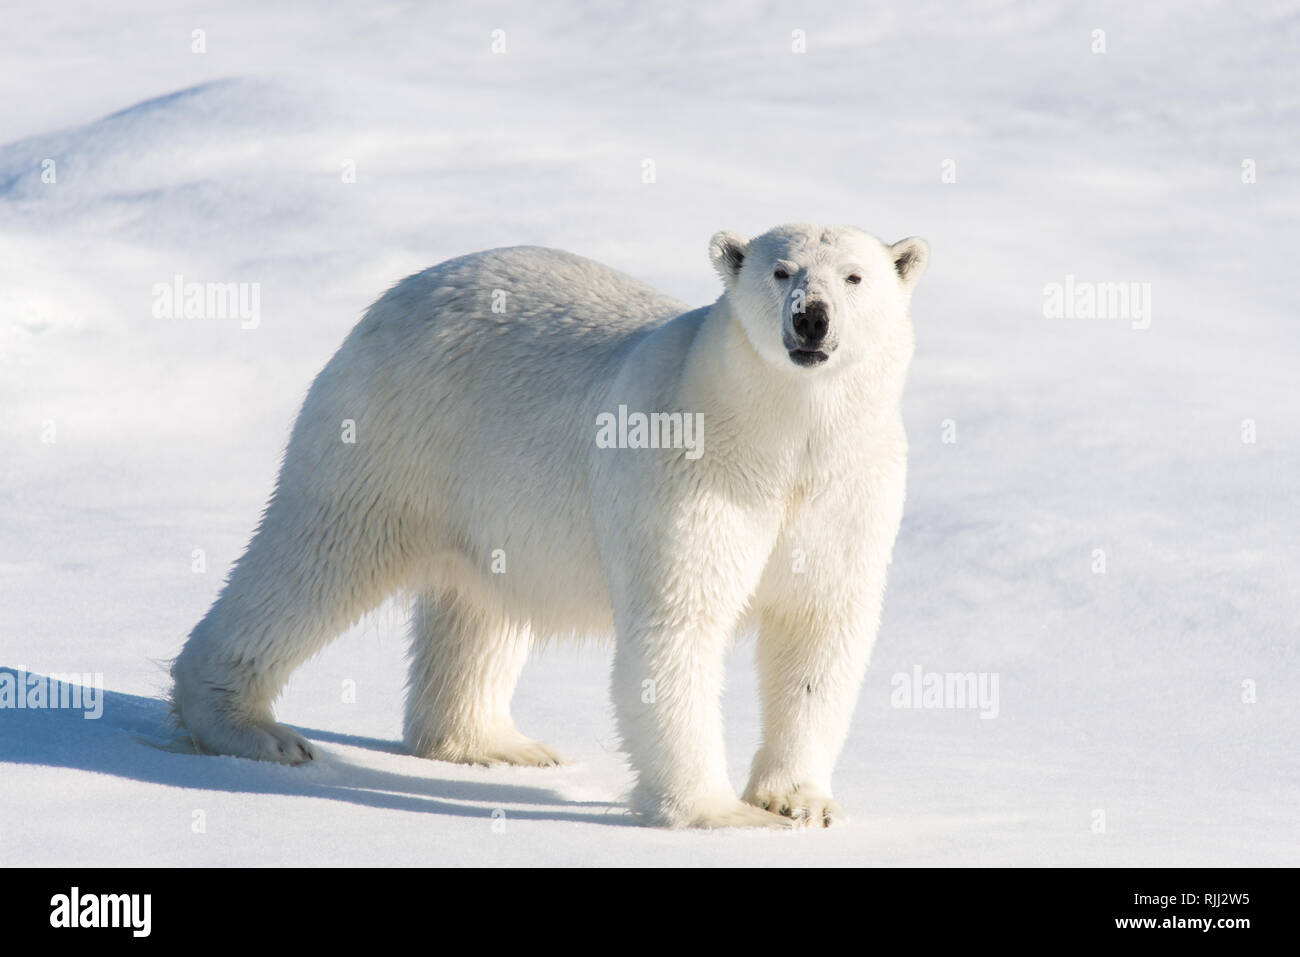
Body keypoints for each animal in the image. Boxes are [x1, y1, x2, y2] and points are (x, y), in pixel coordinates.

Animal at [170, 226, 925, 832]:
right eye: (781, 270)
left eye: (854, 276)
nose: (811, 319)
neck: (781, 437)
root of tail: (399, 294)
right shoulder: (694, 472)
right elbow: (679, 625)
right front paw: (720, 814)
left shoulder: (848, 491)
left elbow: (818, 633)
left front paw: (802, 803)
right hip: (395, 432)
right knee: (315, 555)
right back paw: (252, 728)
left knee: (478, 608)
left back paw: (495, 742)